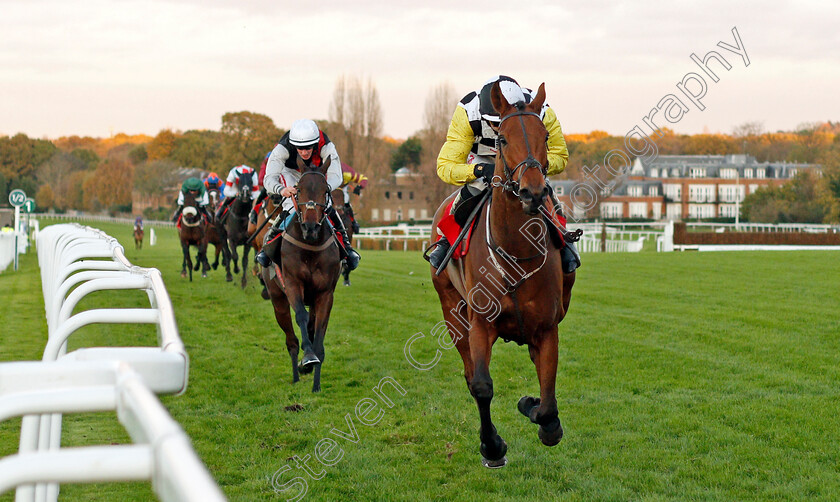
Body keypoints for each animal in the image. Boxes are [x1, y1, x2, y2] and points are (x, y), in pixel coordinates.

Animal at [262, 157, 342, 392]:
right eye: (298, 190)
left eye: (326, 190)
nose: (310, 227)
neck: (310, 247)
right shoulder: (292, 284)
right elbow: (301, 317)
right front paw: (307, 358)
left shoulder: (325, 294)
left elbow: (319, 330)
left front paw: (316, 381)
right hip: (277, 300)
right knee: (291, 340)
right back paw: (296, 374)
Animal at [430, 82, 576, 466]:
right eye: (503, 139)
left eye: (544, 135)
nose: (532, 190)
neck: (516, 252)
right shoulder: (480, 323)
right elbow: (481, 385)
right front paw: (492, 446)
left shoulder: (546, 327)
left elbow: (548, 398)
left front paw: (535, 408)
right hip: (452, 311)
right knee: (469, 372)